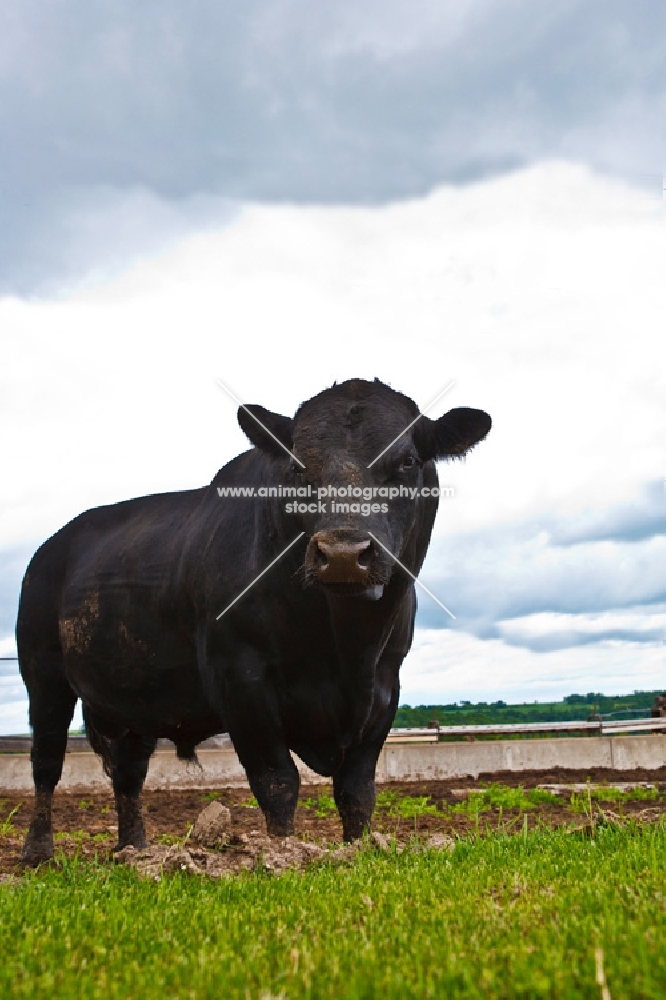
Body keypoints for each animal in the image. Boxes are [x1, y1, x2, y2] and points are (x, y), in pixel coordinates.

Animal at [15, 378, 488, 864]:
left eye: (408, 460)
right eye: (297, 465)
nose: (343, 553)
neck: (344, 644)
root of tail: (54, 544)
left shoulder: (384, 686)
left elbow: (356, 790)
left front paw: (359, 851)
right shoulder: (240, 679)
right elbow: (277, 782)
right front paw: (283, 855)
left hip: (135, 695)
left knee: (129, 772)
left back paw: (135, 850)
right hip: (43, 674)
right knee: (46, 763)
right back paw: (38, 852)